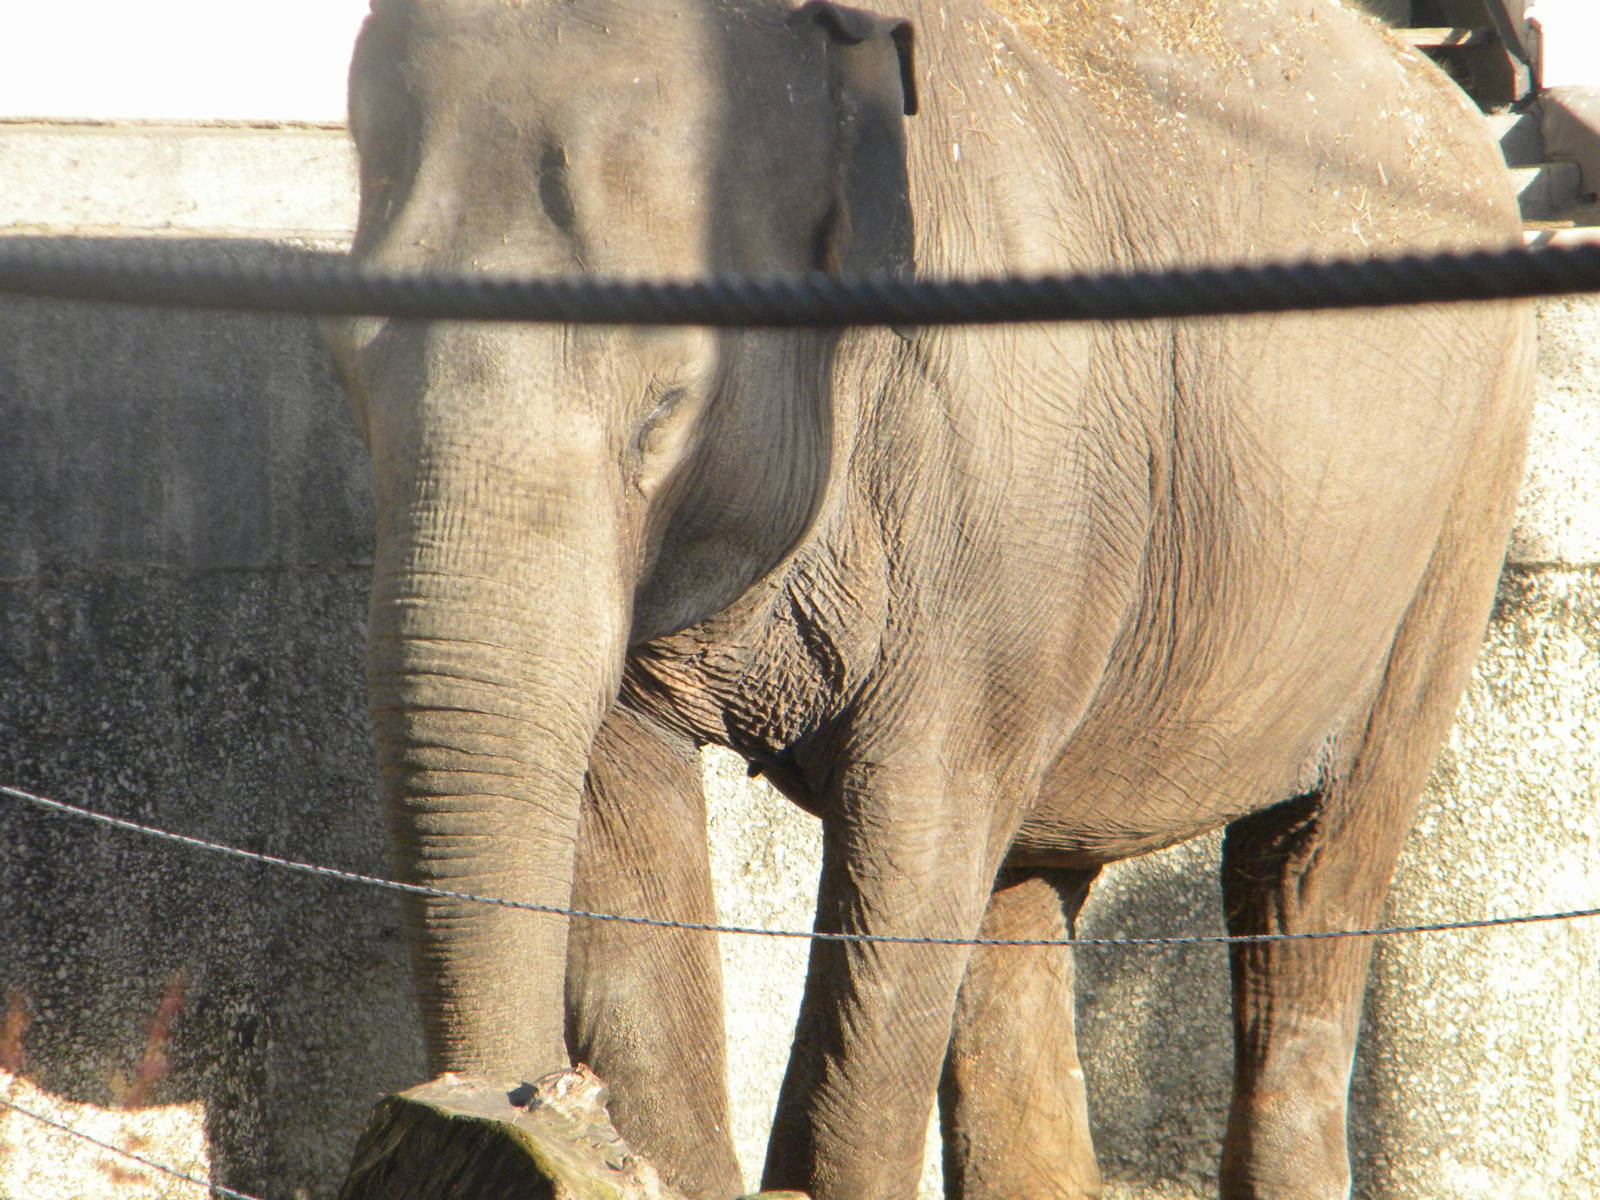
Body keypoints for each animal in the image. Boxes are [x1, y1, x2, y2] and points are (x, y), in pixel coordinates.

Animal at [321, 1, 1534, 1198]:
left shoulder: (996, 481)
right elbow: (622, 813)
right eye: (350, 376)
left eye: (666, 406)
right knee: (1026, 883)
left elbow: (914, 833)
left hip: (1459, 508)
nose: (514, 1106)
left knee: (1308, 873)